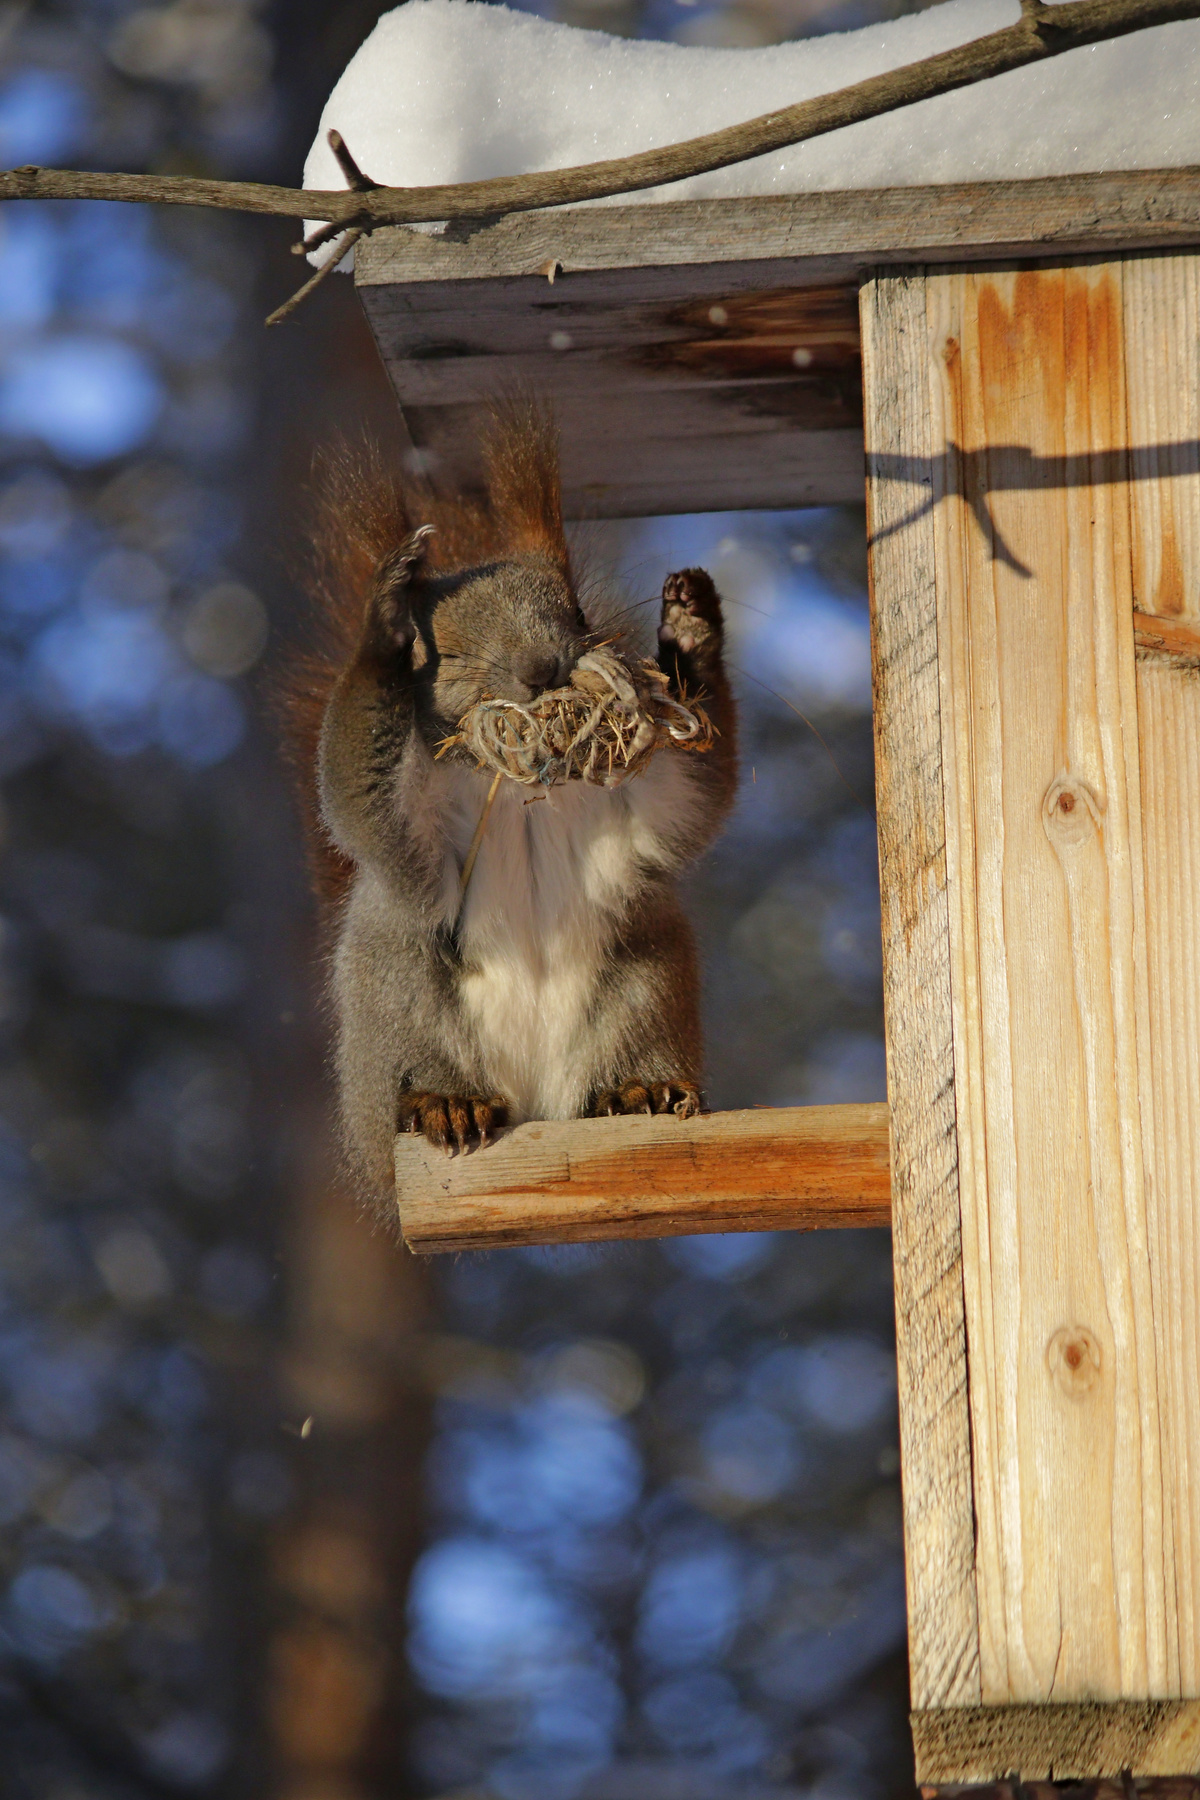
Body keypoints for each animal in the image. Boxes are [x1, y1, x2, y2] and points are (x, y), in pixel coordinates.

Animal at [284, 399, 737, 1207]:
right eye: (446, 651)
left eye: (575, 610)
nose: (543, 668)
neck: (530, 788)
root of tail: (530, 1104)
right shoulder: (409, 830)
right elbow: (355, 789)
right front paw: (381, 624)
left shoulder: (639, 813)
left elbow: (698, 788)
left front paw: (689, 632)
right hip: (398, 989)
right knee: (418, 1068)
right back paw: (442, 1103)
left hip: (644, 976)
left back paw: (639, 1092)